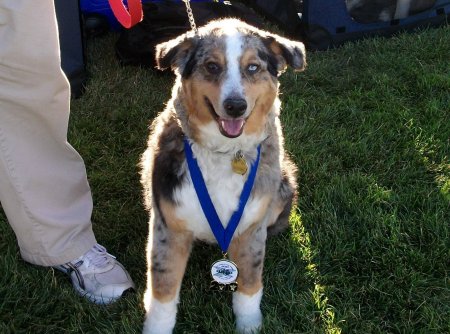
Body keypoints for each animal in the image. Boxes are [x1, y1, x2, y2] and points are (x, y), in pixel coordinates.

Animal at [141, 18, 306, 334]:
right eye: (212, 66)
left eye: (252, 67)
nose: (235, 106)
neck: (225, 153)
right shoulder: (168, 224)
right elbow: (163, 286)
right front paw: (156, 328)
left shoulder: (252, 224)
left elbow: (251, 281)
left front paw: (249, 324)